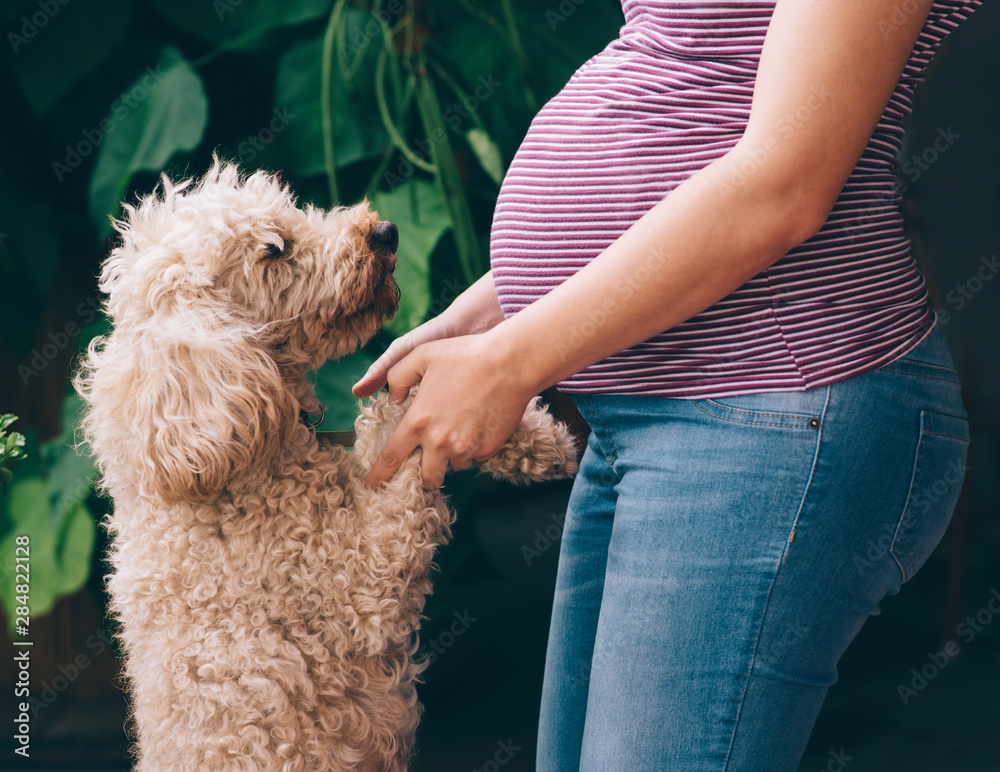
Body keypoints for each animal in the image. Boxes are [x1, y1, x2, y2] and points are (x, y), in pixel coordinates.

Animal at [76, 160, 580, 768]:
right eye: (275, 249)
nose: (386, 231)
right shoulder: (358, 584)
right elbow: (404, 418)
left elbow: (390, 413)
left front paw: (536, 438)